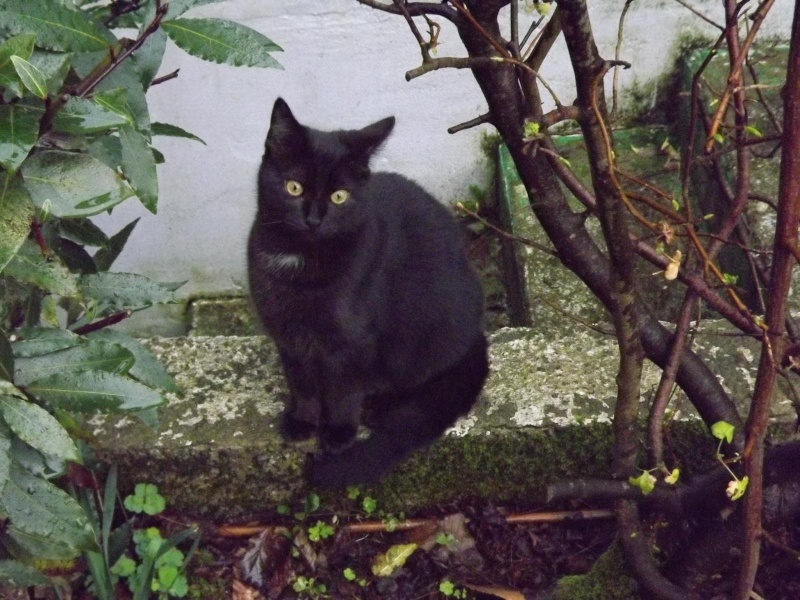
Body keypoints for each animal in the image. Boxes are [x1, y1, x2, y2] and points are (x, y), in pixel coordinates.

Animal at [248, 97, 488, 482]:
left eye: (339, 196)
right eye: (294, 188)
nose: (314, 219)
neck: (301, 258)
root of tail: (476, 333)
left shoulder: (354, 340)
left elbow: (343, 390)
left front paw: (338, 432)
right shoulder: (288, 336)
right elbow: (301, 382)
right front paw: (302, 421)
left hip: (417, 339)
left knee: (422, 374)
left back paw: (380, 405)